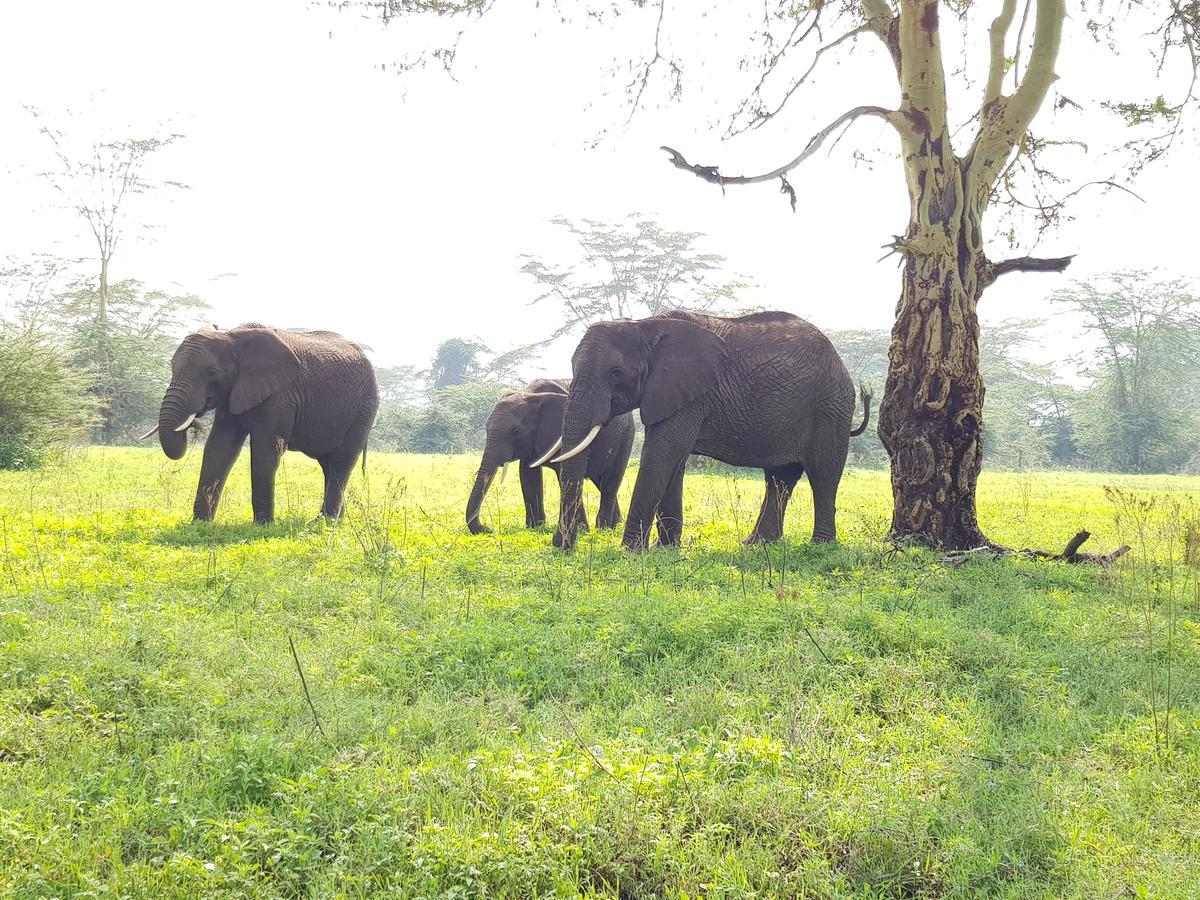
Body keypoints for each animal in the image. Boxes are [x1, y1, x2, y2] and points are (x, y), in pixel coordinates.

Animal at [145, 324, 379, 525]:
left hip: (363, 410)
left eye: (211, 373)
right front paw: (199, 524)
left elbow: (265, 451)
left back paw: (325, 522)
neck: (232, 335)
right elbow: (219, 447)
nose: (193, 426)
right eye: (172, 367)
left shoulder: (281, 394)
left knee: (342, 461)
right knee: (327, 465)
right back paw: (333, 520)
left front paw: (263, 525)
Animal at [463, 379, 638, 535]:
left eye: (516, 432)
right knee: (600, 480)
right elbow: (528, 475)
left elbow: (563, 475)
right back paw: (616, 525)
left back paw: (605, 529)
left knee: (610, 482)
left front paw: (582, 531)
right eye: (486, 429)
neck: (530, 394)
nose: (487, 529)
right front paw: (535, 528)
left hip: (627, 434)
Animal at [547, 309, 873, 554]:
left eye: (616, 373)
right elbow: (674, 460)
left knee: (823, 476)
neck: (646, 325)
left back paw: (820, 546)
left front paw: (632, 551)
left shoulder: (691, 394)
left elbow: (663, 453)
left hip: (830, 407)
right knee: (779, 478)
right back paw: (758, 543)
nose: (562, 546)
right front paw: (666, 549)